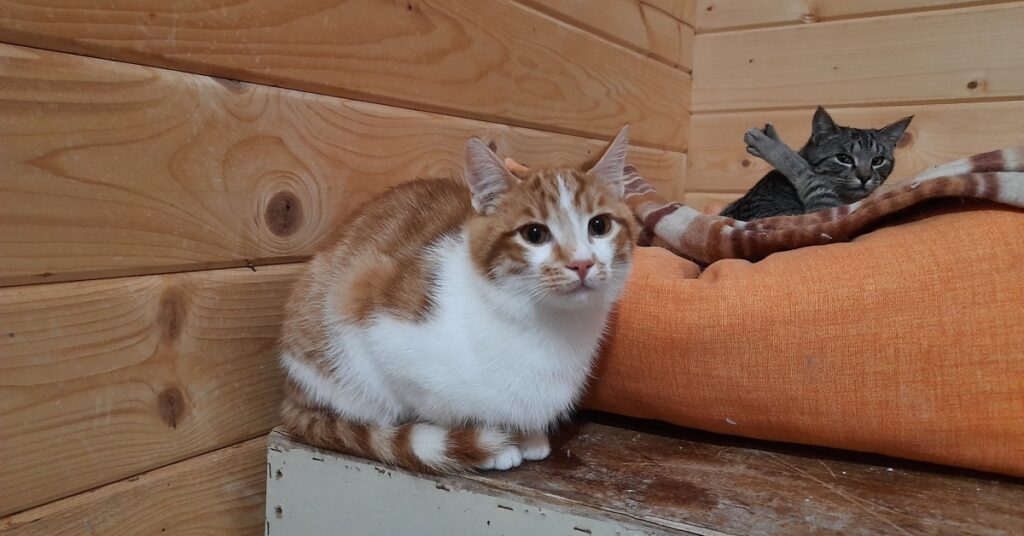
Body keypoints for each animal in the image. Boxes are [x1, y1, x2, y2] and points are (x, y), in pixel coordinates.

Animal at [276, 128, 634, 471]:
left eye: (599, 225)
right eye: (534, 234)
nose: (582, 263)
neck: (549, 325)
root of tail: (290, 394)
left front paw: (529, 436)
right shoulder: (374, 312)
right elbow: (434, 404)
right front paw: (488, 443)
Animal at [716, 107, 917, 220]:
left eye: (877, 160)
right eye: (843, 158)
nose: (865, 177)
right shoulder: (821, 211)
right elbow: (804, 170)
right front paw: (771, 145)